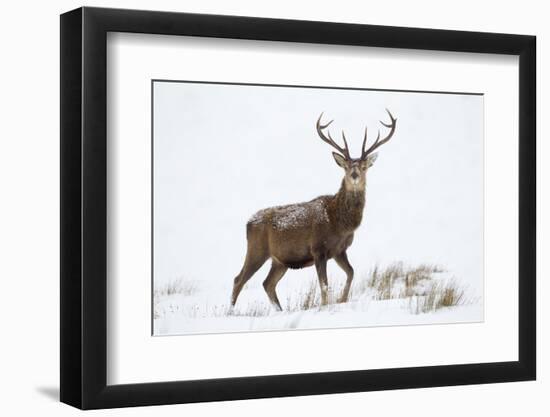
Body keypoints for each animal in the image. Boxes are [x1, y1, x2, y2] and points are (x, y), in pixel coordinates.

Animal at [231, 109, 398, 310]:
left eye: (364, 167)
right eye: (346, 167)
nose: (354, 175)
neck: (339, 223)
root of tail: (248, 222)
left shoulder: (340, 250)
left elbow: (351, 272)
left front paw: (342, 300)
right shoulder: (318, 248)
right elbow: (324, 285)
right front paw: (325, 306)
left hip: (280, 261)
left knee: (267, 283)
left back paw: (279, 310)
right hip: (256, 249)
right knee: (239, 279)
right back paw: (230, 311)